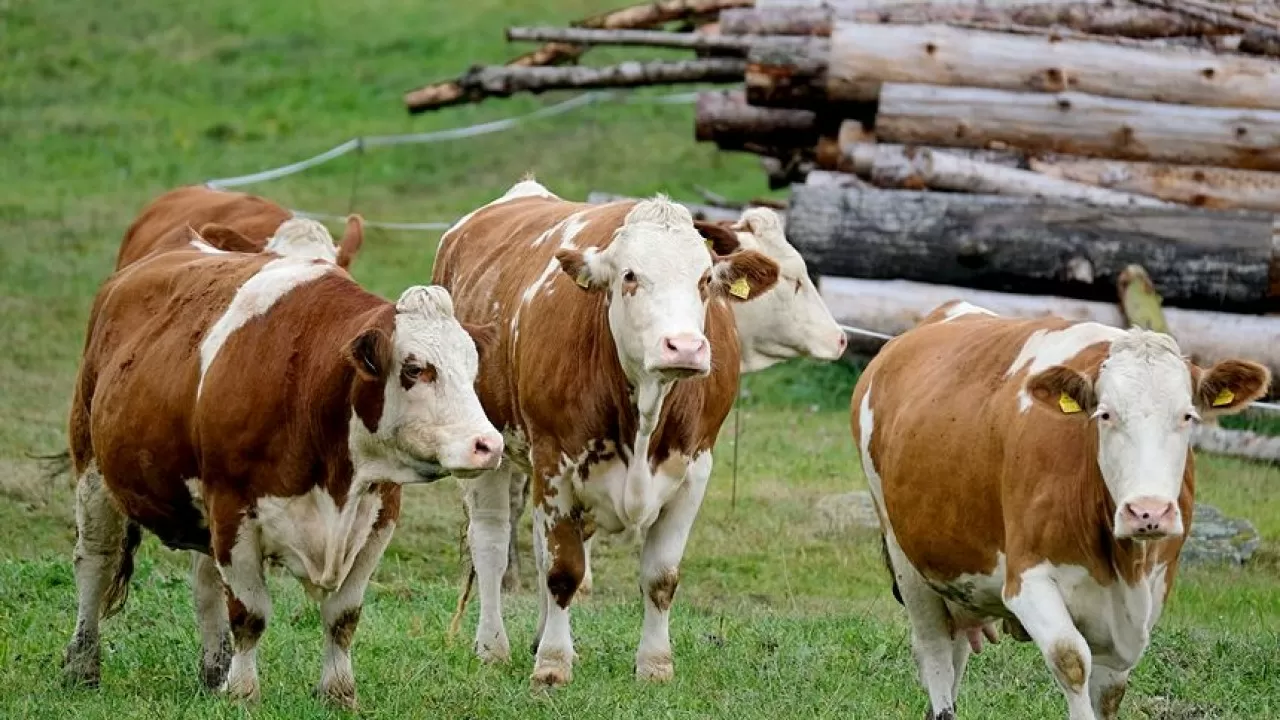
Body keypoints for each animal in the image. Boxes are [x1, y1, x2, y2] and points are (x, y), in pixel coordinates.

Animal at [63, 240, 499, 707]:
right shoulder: (232, 509)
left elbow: (343, 616)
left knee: (204, 584)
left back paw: (213, 671)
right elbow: (249, 613)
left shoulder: (379, 516)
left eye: (473, 370)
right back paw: (81, 665)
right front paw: (243, 692)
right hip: (93, 472)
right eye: (415, 369)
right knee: (95, 562)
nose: (488, 445)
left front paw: (338, 691)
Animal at [432, 176, 778, 681]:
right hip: (487, 449)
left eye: (704, 280)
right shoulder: (554, 461)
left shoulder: (696, 468)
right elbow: (563, 572)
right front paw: (552, 665)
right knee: (492, 543)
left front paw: (654, 665)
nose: (684, 347)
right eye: (630, 275)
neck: (646, 409)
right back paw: (493, 646)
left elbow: (660, 577)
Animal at [849, 301, 1269, 717]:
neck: (1123, 566)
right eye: (1105, 414)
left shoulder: (1150, 594)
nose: (1147, 512)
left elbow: (1111, 690)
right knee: (934, 649)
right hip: (906, 559)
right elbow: (1072, 659)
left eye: (1187, 416)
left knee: (956, 650)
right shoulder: (1027, 580)